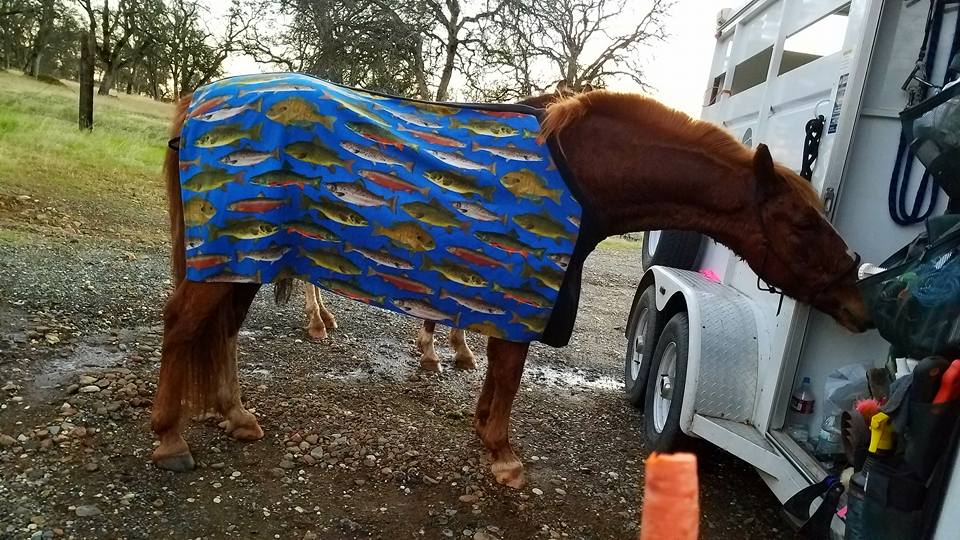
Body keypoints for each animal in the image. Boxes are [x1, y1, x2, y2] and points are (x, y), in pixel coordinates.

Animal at [152, 86, 870, 489]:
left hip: (244, 256)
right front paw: (503, 458)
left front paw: (482, 432)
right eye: (803, 221)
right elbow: (509, 375)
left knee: (221, 332)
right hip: (232, 251)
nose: (859, 299)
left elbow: (495, 375)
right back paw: (170, 440)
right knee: (184, 326)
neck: (584, 173)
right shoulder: (527, 296)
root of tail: (201, 99)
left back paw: (236, 415)